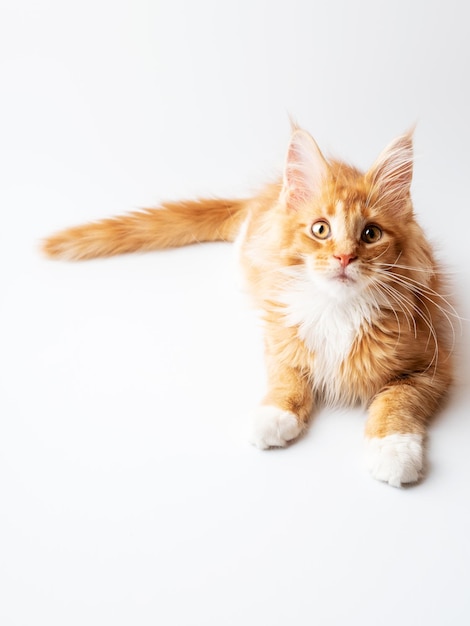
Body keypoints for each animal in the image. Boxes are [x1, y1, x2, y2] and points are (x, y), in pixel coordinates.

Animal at [42, 125, 454, 488]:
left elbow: (397, 403)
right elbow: (287, 377)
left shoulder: (432, 362)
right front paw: (275, 415)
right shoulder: (279, 333)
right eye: (321, 229)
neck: (338, 309)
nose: (343, 258)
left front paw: (394, 452)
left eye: (371, 234)